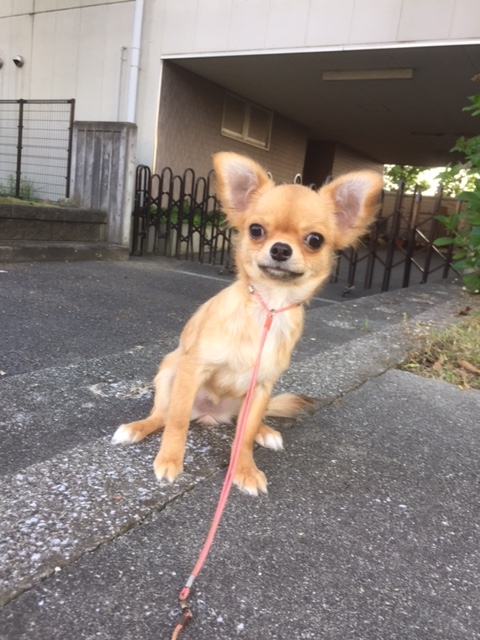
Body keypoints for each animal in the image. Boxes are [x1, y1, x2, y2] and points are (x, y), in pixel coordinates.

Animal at [112, 153, 383, 495]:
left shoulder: (261, 385)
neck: (267, 308)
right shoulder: (192, 369)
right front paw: (170, 460)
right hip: (169, 373)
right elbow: (177, 422)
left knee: (248, 424)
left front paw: (244, 470)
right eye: (256, 230)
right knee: (163, 415)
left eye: (315, 240)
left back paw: (266, 431)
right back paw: (137, 428)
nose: (280, 249)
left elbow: (245, 435)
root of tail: (211, 415)